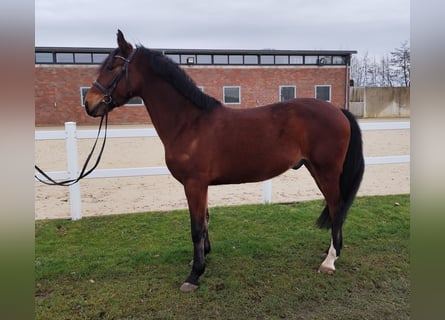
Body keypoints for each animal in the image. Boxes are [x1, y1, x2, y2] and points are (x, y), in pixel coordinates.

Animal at [84, 30, 364, 292]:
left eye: (112, 67)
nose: (89, 103)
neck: (189, 123)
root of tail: (339, 110)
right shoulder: (200, 186)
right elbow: (205, 221)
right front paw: (202, 258)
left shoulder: (194, 184)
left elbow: (196, 227)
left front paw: (194, 275)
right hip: (316, 169)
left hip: (326, 171)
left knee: (336, 207)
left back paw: (329, 261)